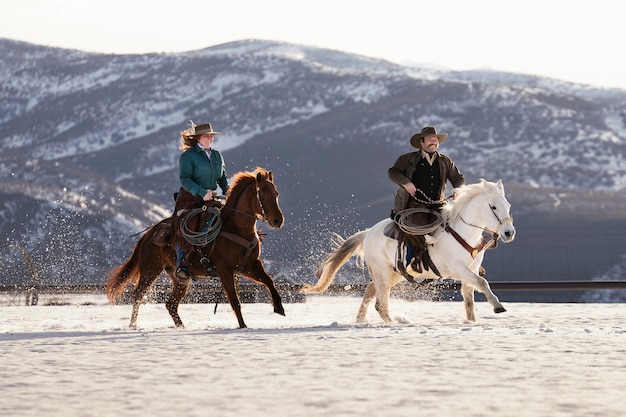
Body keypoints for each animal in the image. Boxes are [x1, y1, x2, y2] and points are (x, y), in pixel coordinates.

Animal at [105, 167, 286, 328]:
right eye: (263, 194)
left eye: (276, 194)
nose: (278, 220)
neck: (235, 228)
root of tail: (149, 233)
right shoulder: (225, 270)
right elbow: (235, 301)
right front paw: (243, 326)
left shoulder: (250, 266)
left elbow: (269, 281)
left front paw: (279, 307)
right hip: (150, 270)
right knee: (138, 295)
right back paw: (133, 325)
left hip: (179, 279)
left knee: (171, 304)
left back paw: (181, 327)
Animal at [302, 179, 512, 322]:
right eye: (493, 206)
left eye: (508, 205)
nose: (509, 233)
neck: (463, 232)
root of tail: (368, 233)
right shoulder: (459, 268)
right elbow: (482, 282)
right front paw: (498, 306)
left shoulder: (471, 269)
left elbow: (470, 300)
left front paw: (472, 322)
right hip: (383, 272)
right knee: (380, 303)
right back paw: (394, 323)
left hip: (394, 273)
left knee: (371, 291)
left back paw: (362, 320)